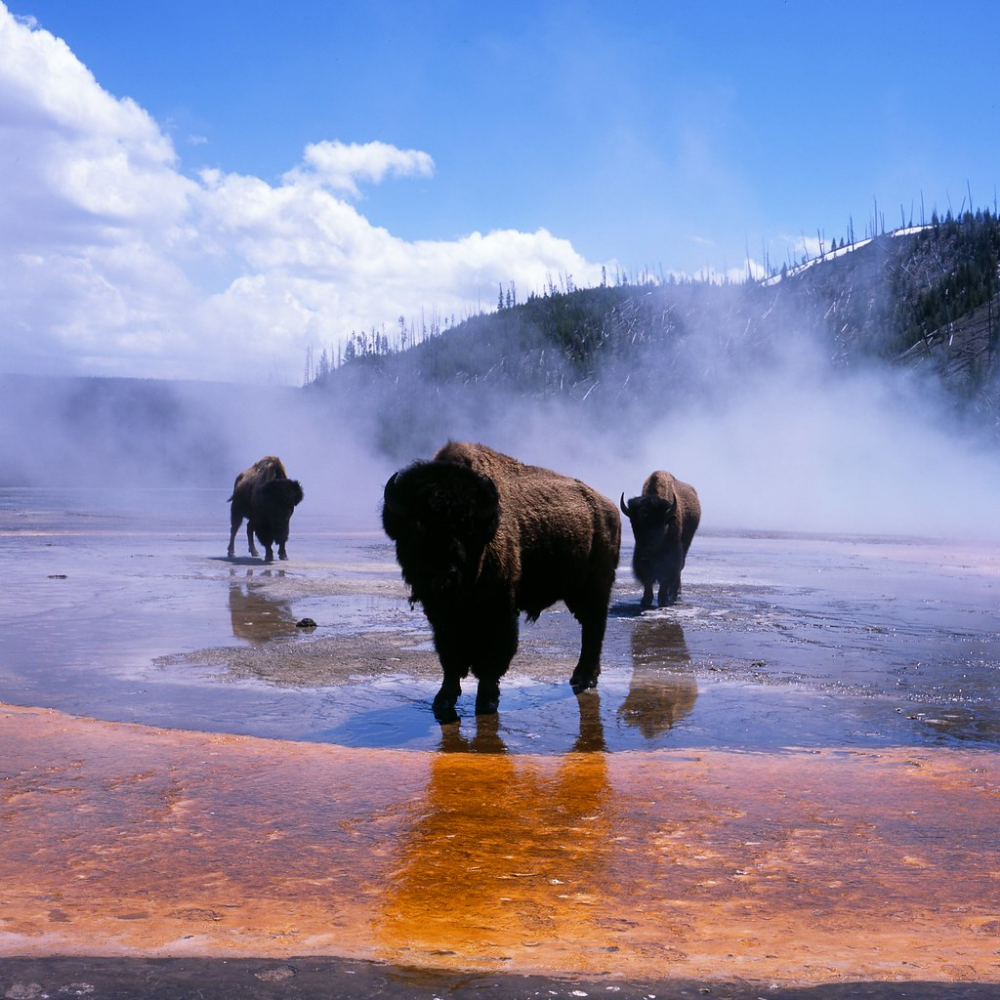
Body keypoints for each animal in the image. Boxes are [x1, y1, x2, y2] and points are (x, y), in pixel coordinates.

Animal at [380, 442, 620, 724]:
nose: (442, 576)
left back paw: (584, 678)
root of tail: (609, 508)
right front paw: (443, 700)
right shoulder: (442, 616)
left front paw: (487, 701)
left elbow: (492, 657)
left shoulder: (499, 611)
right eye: (417, 530)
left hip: (594, 588)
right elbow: (449, 657)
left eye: (466, 530)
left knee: (594, 628)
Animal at [620, 470, 700, 608]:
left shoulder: (671, 556)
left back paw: (675, 594)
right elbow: (648, 580)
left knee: (679, 570)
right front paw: (645, 601)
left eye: (658, 525)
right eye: (633, 524)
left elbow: (665, 578)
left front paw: (663, 600)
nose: (644, 557)